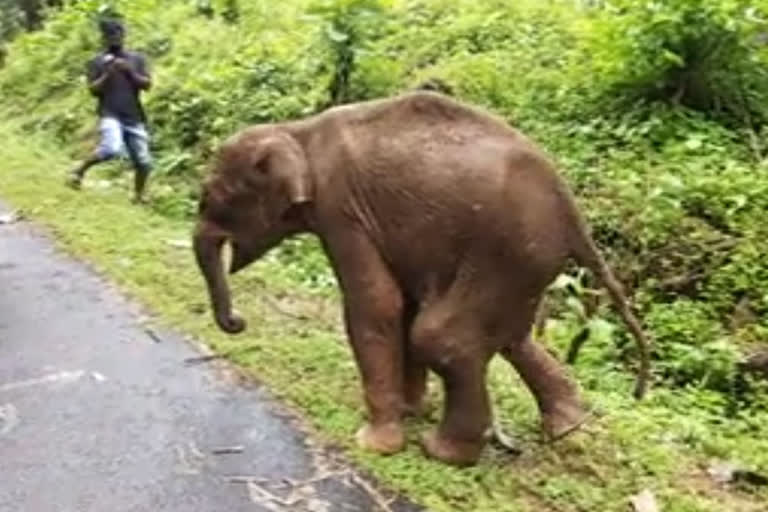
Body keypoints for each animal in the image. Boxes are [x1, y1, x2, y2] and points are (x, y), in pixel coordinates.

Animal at [192, 90, 648, 466]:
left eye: (208, 197)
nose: (237, 322)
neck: (298, 130)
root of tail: (575, 220)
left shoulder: (341, 210)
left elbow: (377, 303)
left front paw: (374, 443)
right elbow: (403, 301)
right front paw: (411, 411)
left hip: (507, 252)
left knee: (442, 336)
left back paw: (443, 451)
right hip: (527, 266)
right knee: (512, 339)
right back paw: (568, 428)